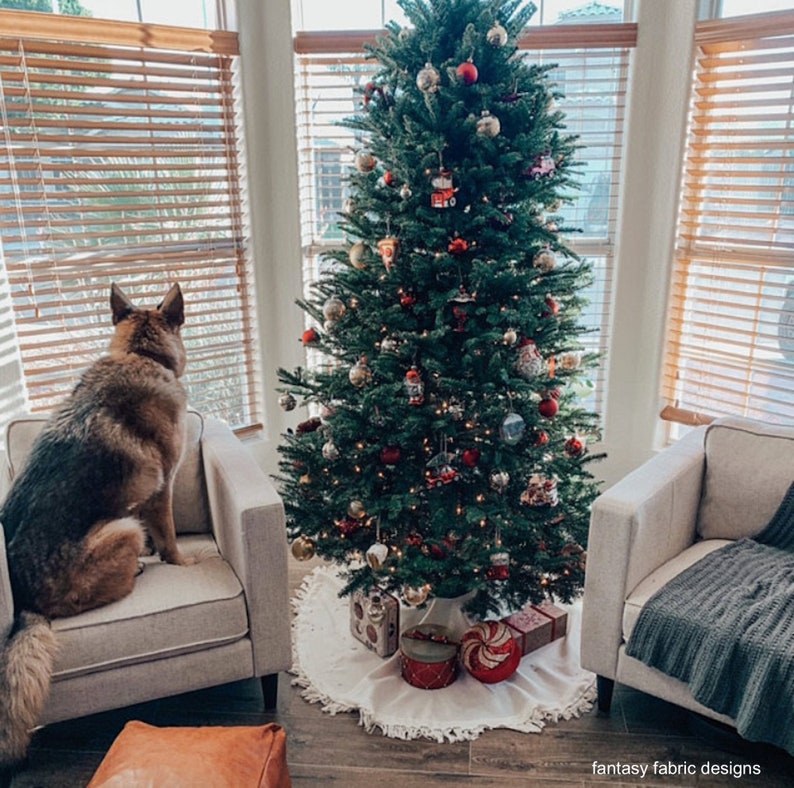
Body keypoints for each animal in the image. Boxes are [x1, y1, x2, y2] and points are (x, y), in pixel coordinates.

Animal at [0, 284, 190, 768]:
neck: (140, 354)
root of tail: (24, 602)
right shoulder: (162, 490)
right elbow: (169, 538)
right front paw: (179, 563)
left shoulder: (143, 499)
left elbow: (157, 534)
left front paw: (157, 554)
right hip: (122, 528)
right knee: (115, 581)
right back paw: (136, 569)